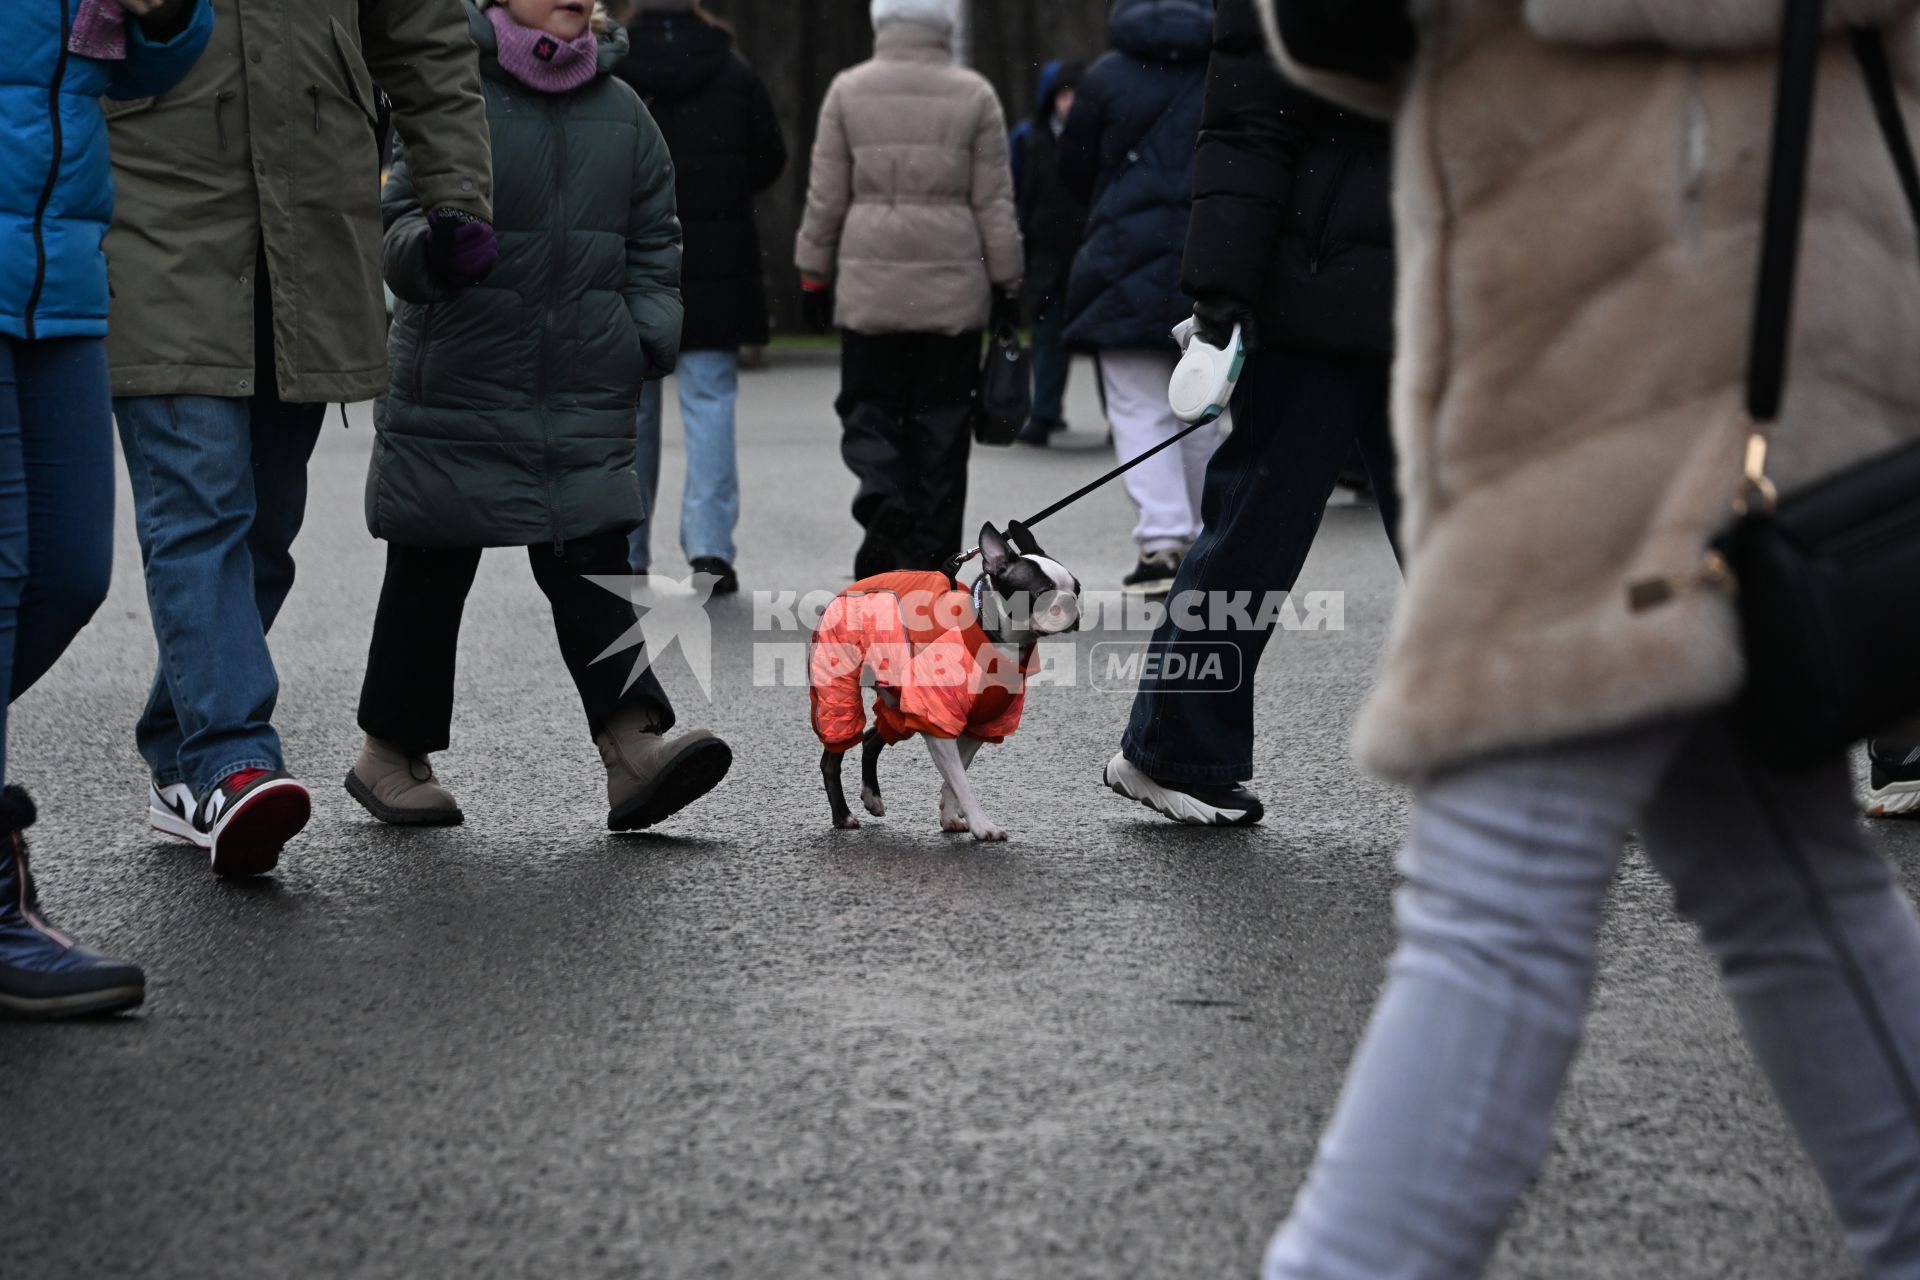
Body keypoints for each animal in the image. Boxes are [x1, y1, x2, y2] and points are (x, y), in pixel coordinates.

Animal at [810, 521, 1082, 840]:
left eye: (1077, 589)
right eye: (1042, 593)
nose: (1071, 604)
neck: (992, 635)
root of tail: (846, 592)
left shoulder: (981, 724)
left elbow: (956, 777)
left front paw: (950, 816)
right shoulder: (938, 721)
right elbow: (961, 781)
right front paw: (983, 825)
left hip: (901, 705)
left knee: (870, 738)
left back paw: (872, 796)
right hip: (839, 692)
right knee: (833, 755)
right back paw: (843, 816)